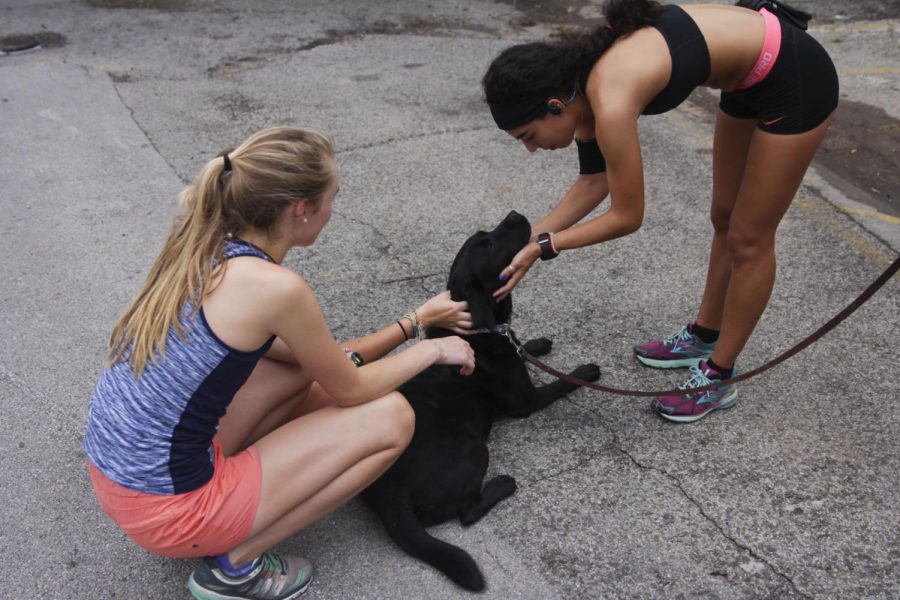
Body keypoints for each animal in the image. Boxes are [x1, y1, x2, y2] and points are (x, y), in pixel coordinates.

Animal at [356, 210, 596, 592]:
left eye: (488, 235)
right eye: (489, 245)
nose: (514, 214)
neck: (476, 328)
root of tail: (389, 495)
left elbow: (521, 345)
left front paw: (536, 344)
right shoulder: (527, 401)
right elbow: (561, 383)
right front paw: (585, 371)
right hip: (474, 449)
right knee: (467, 515)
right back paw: (502, 485)